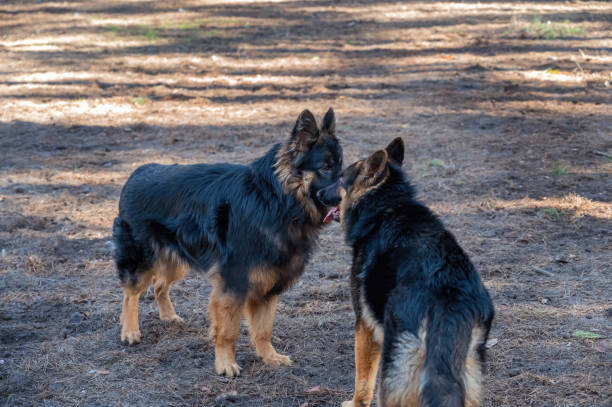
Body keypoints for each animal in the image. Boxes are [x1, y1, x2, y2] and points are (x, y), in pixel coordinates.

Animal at [113, 109, 344, 380]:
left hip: (175, 261)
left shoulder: (268, 284)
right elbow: (228, 331)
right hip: (140, 260)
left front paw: (270, 357)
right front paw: (225, 364)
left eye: (341, 168)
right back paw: (129, 330)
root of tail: (137, 172)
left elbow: (263, 329)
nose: (348, 196)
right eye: (325, 167)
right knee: (131, 294)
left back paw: (168, 316)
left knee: (160, 284)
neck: (275, 201)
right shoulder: (234, 284)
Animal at [342, 139, 494, 406]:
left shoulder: (365, 326)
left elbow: (363, 380)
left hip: (396, 370)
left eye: (341, 178)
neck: (388, 205)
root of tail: (449, 299)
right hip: (469, 371)